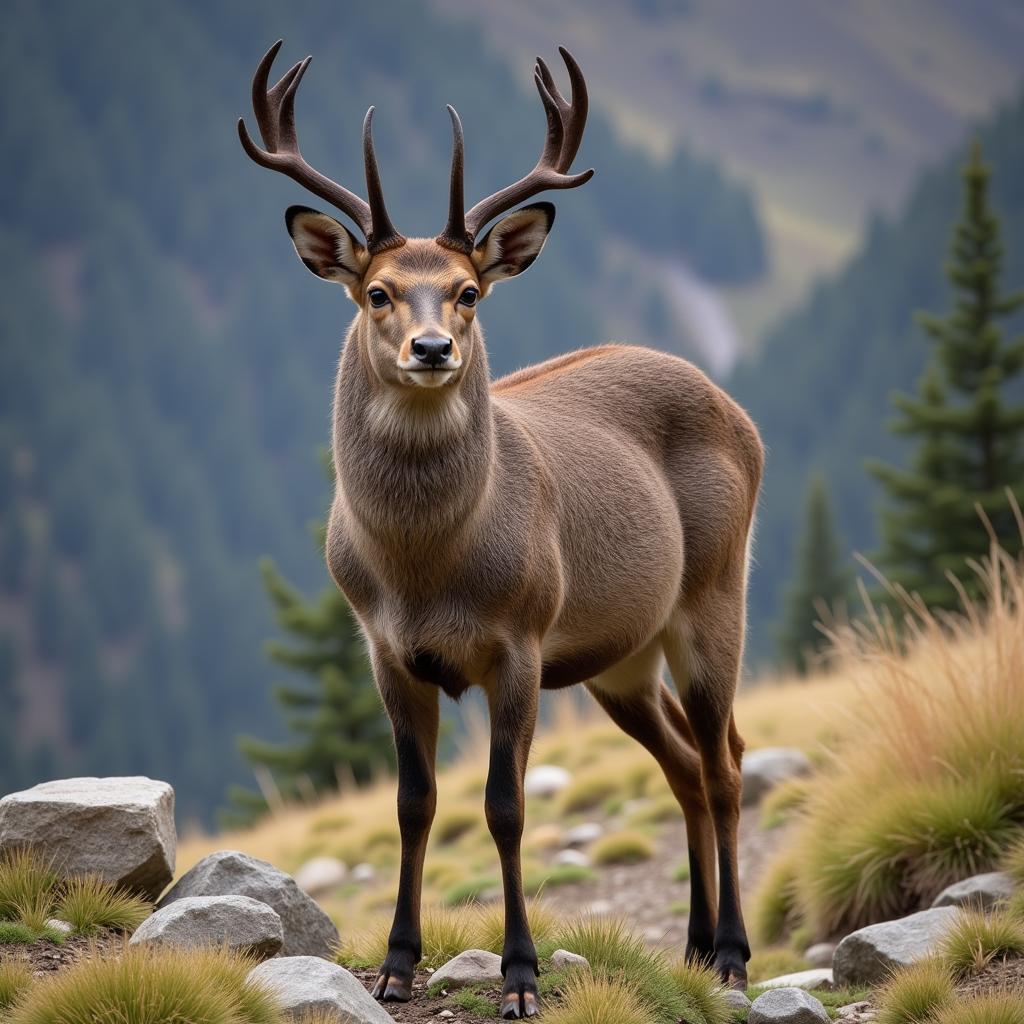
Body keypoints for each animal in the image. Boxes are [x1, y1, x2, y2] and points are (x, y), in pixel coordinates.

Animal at [241, 37, 761, 1015]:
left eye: (469, 291)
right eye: (377, 292)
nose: (432, 348)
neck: (424, 570)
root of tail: (735, 410)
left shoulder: (520, 637)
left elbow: (506, 807)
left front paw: (520, 976)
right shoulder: (385, 648)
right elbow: (414, 804)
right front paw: (396, 965)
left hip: (717, 592)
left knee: (725, 761)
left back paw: (736, 954)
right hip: (621, 657)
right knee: (681, 764)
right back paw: (694, 945)